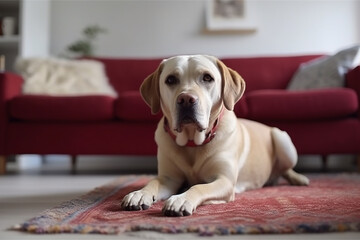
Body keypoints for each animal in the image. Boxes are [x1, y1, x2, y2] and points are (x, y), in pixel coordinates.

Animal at [121, 55, 310, 217]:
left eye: (207, 78)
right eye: (170, 80)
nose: (186, 99)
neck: (192, 141)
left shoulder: (224, 181)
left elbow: (199, 187)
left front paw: (181, 199)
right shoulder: (169, 178)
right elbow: (153, 181)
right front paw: (139, 193)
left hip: (283, 140)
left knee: (285, 168)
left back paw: (299, 179)